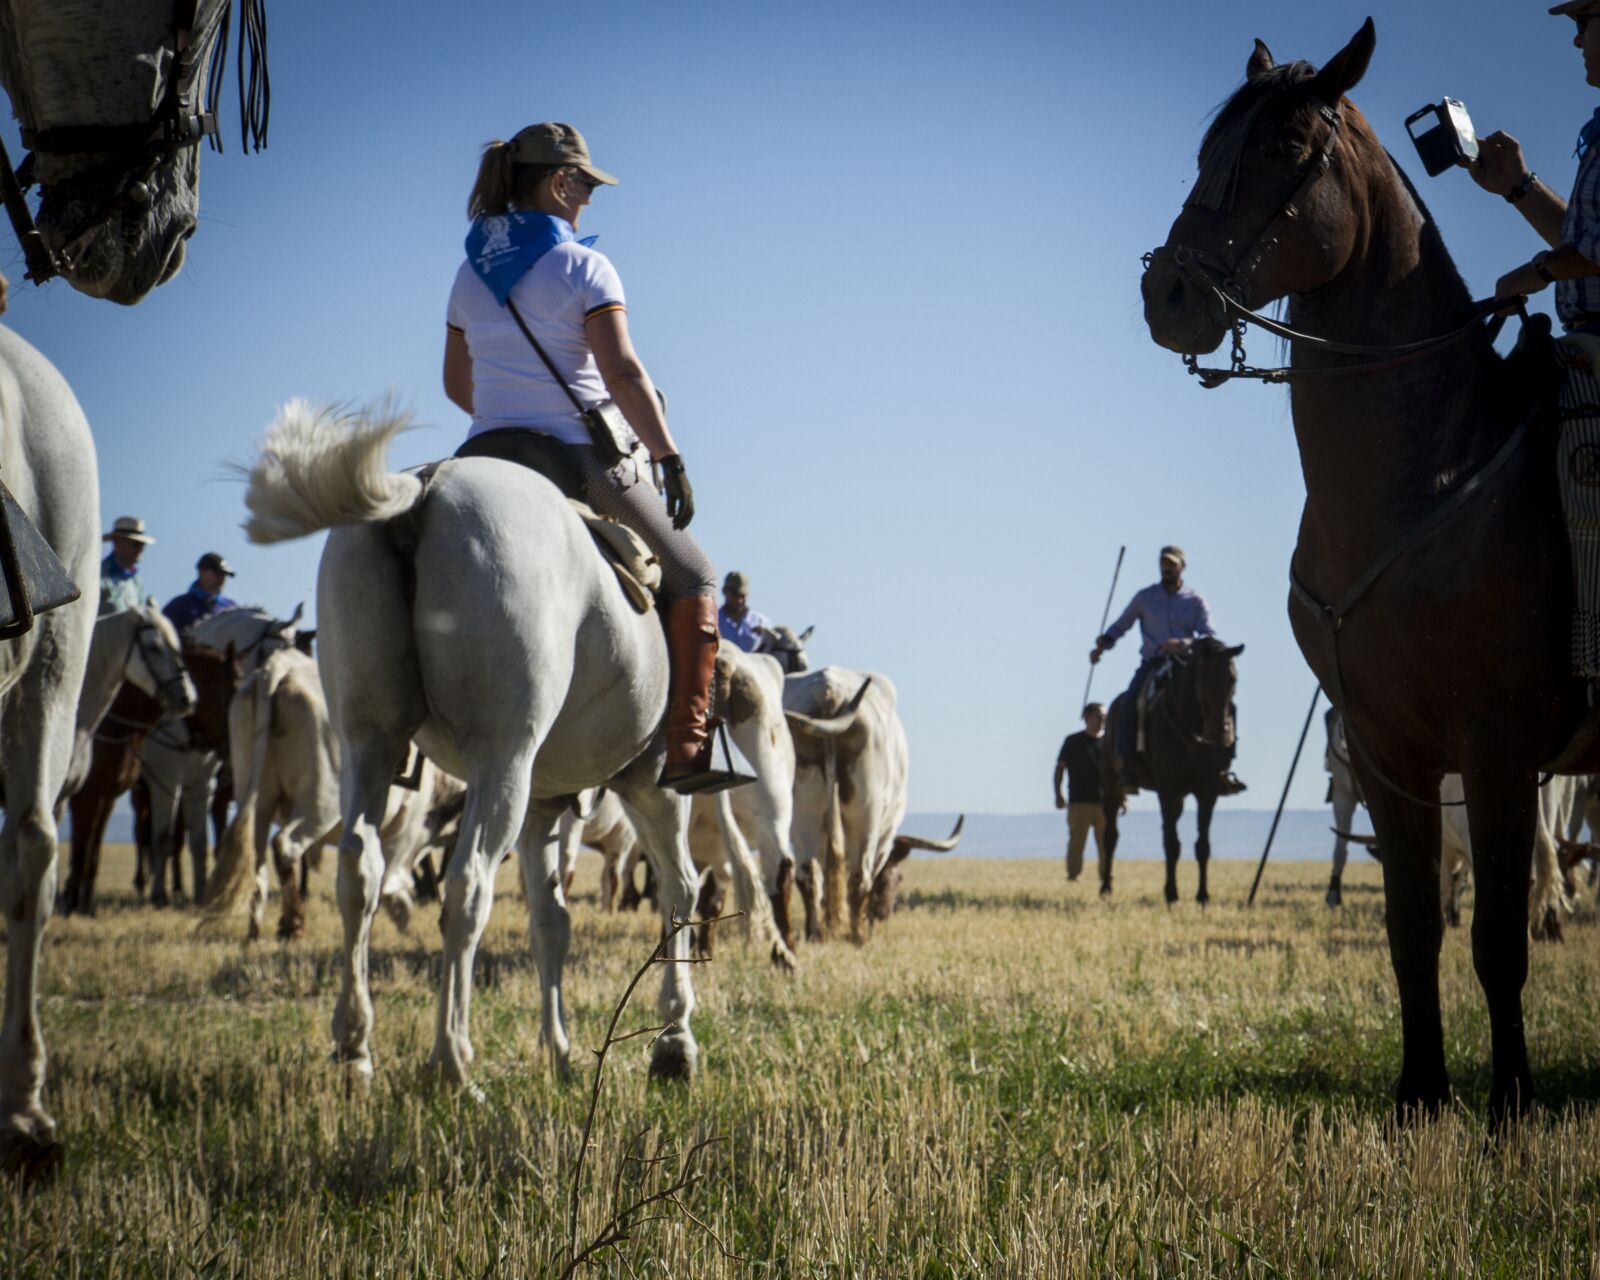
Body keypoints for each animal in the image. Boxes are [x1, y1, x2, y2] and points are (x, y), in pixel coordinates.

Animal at [238, 400, 707, 1084]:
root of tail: (423, 491)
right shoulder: (653, 784)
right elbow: (678, 893)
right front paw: (674, 1039)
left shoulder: (545, 805)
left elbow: (551, 922)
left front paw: (559, 1053)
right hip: (501, 762)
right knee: (466, 887)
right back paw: (452, 1063)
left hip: (371, 743)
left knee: (359, 870)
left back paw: (355, 1049)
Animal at [1102, 639, 1242, 906]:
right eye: (1205, 679)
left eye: (1233, 679)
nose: (1220, 732)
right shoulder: (1168, 789)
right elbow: (1171, 843)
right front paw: (1171, 894)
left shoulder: (1207, 791)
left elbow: (1202, 845)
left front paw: (1203, 896)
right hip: (1112, 787)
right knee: (1111, 835)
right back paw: (1105, 887)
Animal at [1140, 19, 1595, 1121]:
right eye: (1208, 148)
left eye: (1284, 148)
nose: (1165, 292)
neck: (1426, 465)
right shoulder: (1390, 754)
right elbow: (1412, 928)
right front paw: (1421, 1095)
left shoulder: (1497, 747)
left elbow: (1497, 936)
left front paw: (1512, 1105)